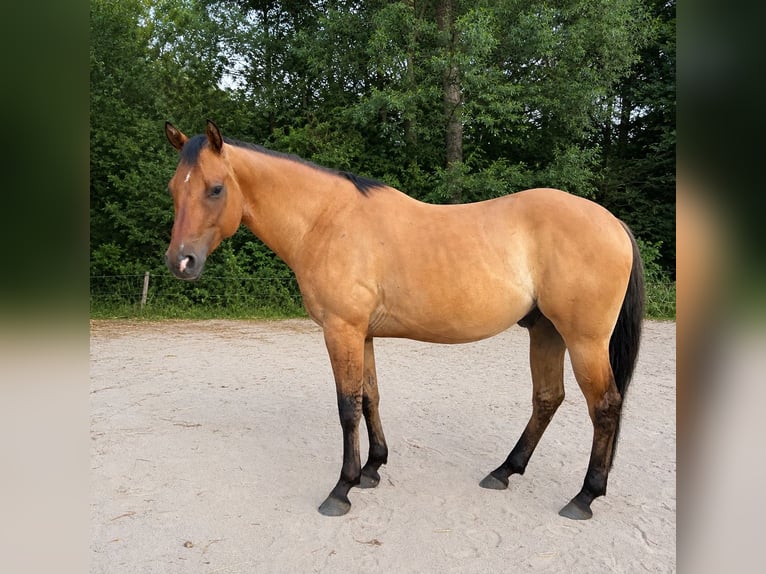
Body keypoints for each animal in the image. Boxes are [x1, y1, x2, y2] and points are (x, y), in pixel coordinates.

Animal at [163, 120, 644, 520]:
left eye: (215, 188)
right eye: (173, 189)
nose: (180, 262)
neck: (326, 220)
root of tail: (614, 223)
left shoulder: (341, 330)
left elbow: (347, 407)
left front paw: (342, 488)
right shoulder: (362, 335)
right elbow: (370, 398)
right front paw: (373, 468)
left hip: (584, 341)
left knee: (605, 406)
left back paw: (585, 496)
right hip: (546, 332)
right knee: (547, 399)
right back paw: (505, 471)